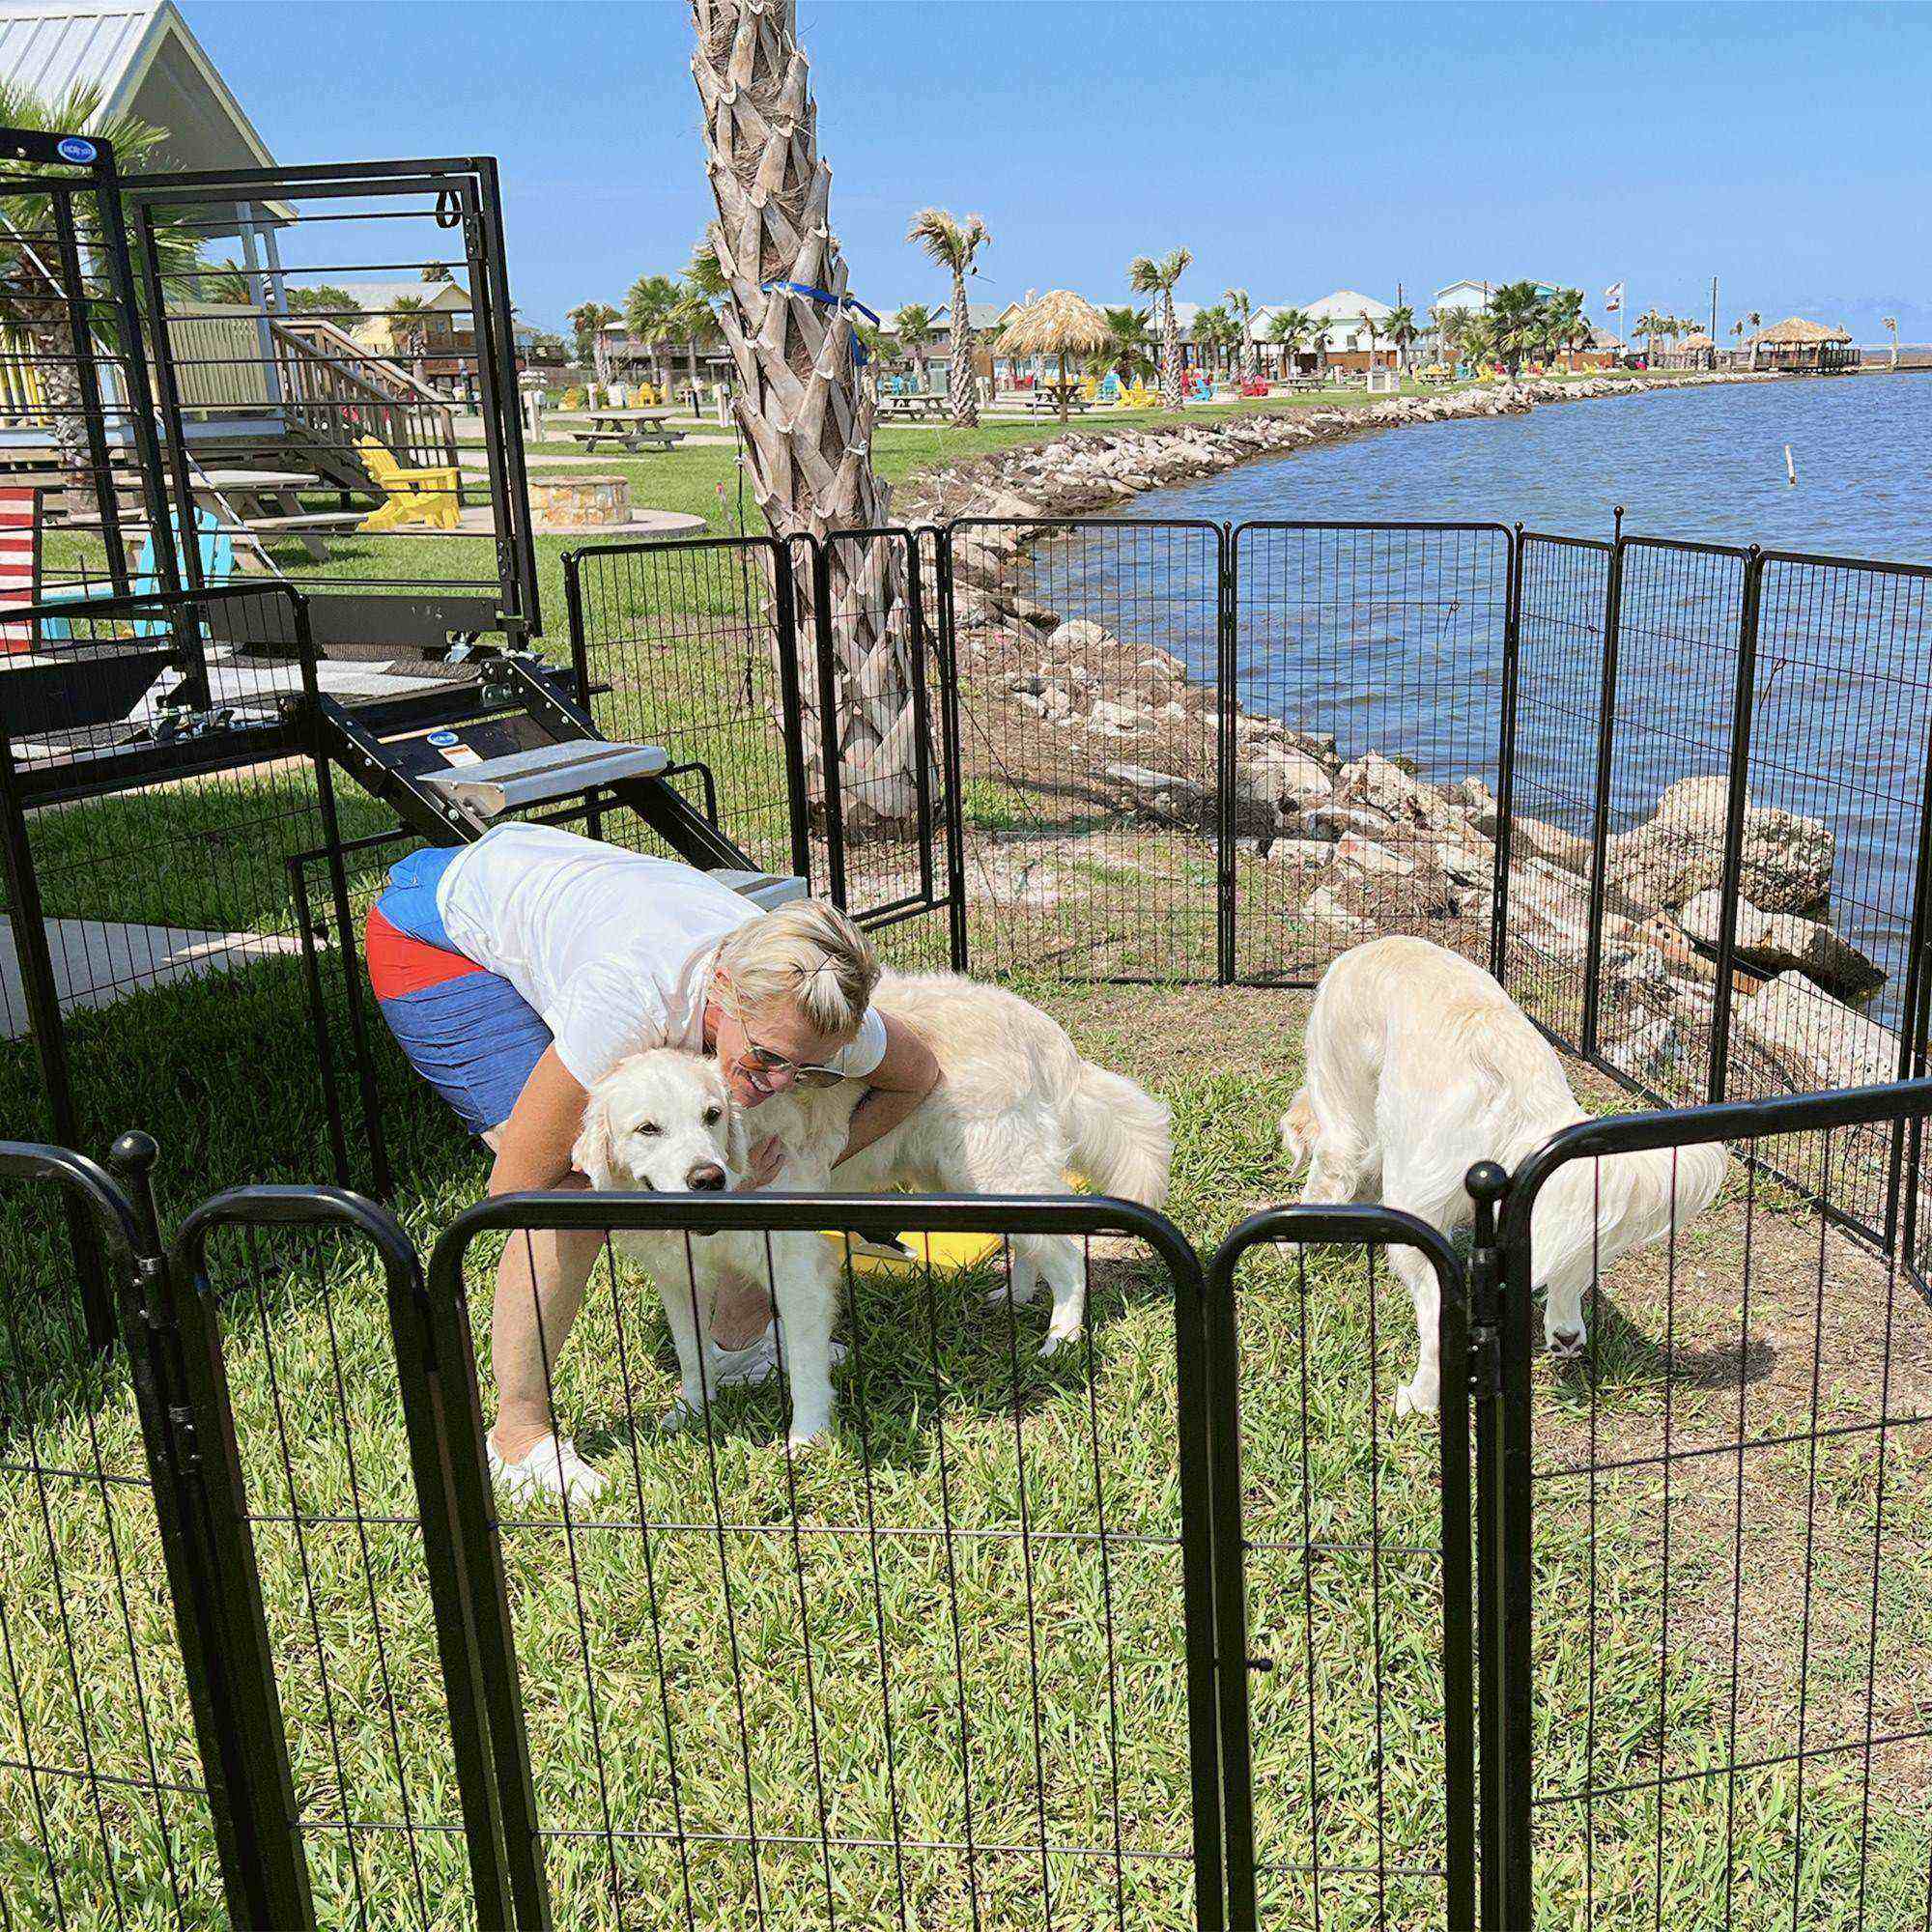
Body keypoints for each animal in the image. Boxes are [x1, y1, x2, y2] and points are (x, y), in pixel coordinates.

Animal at [572, 974, 1167, 1445]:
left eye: (712, 1116)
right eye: (648, 1128)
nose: (707, 1178)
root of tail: (1037, 1024)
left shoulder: (797, 1268)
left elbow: (805, 1366)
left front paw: (807, 1439)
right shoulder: (682, 1278)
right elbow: (694, 1358)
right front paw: (692, 1414)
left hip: (997, 1169)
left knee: (1067, 1257)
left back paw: (1060, 1339)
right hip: (965, 1179)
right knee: (1030, 1242)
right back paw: (1015, 1296)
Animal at [1283, 939, 1723, 1422]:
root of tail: (1512, 1069)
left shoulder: (1342, 1112)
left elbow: (1328, 1173)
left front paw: (1291, 1240)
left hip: (1415, 1215)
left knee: (1437, 1319)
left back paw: (1417, 1400)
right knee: (1570, 1275)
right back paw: (1565, 1335)